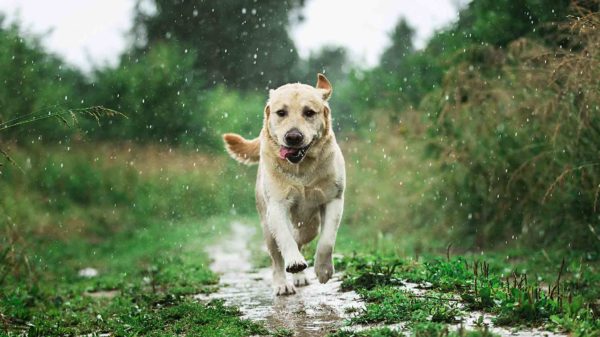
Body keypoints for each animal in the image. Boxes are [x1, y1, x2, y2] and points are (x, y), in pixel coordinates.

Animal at [223, 73, 344, 294]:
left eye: (309, 112)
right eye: (281, 113)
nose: (293, 137)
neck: (301, 169)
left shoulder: (334, 199)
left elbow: (327, 240)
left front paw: (323, 270)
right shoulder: (277, 206)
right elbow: (285, 239)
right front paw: (295, 262)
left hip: (311, 223)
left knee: (304, 235)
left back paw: (300, 276)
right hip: (266, 226)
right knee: (277, 257)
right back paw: (282, 283)